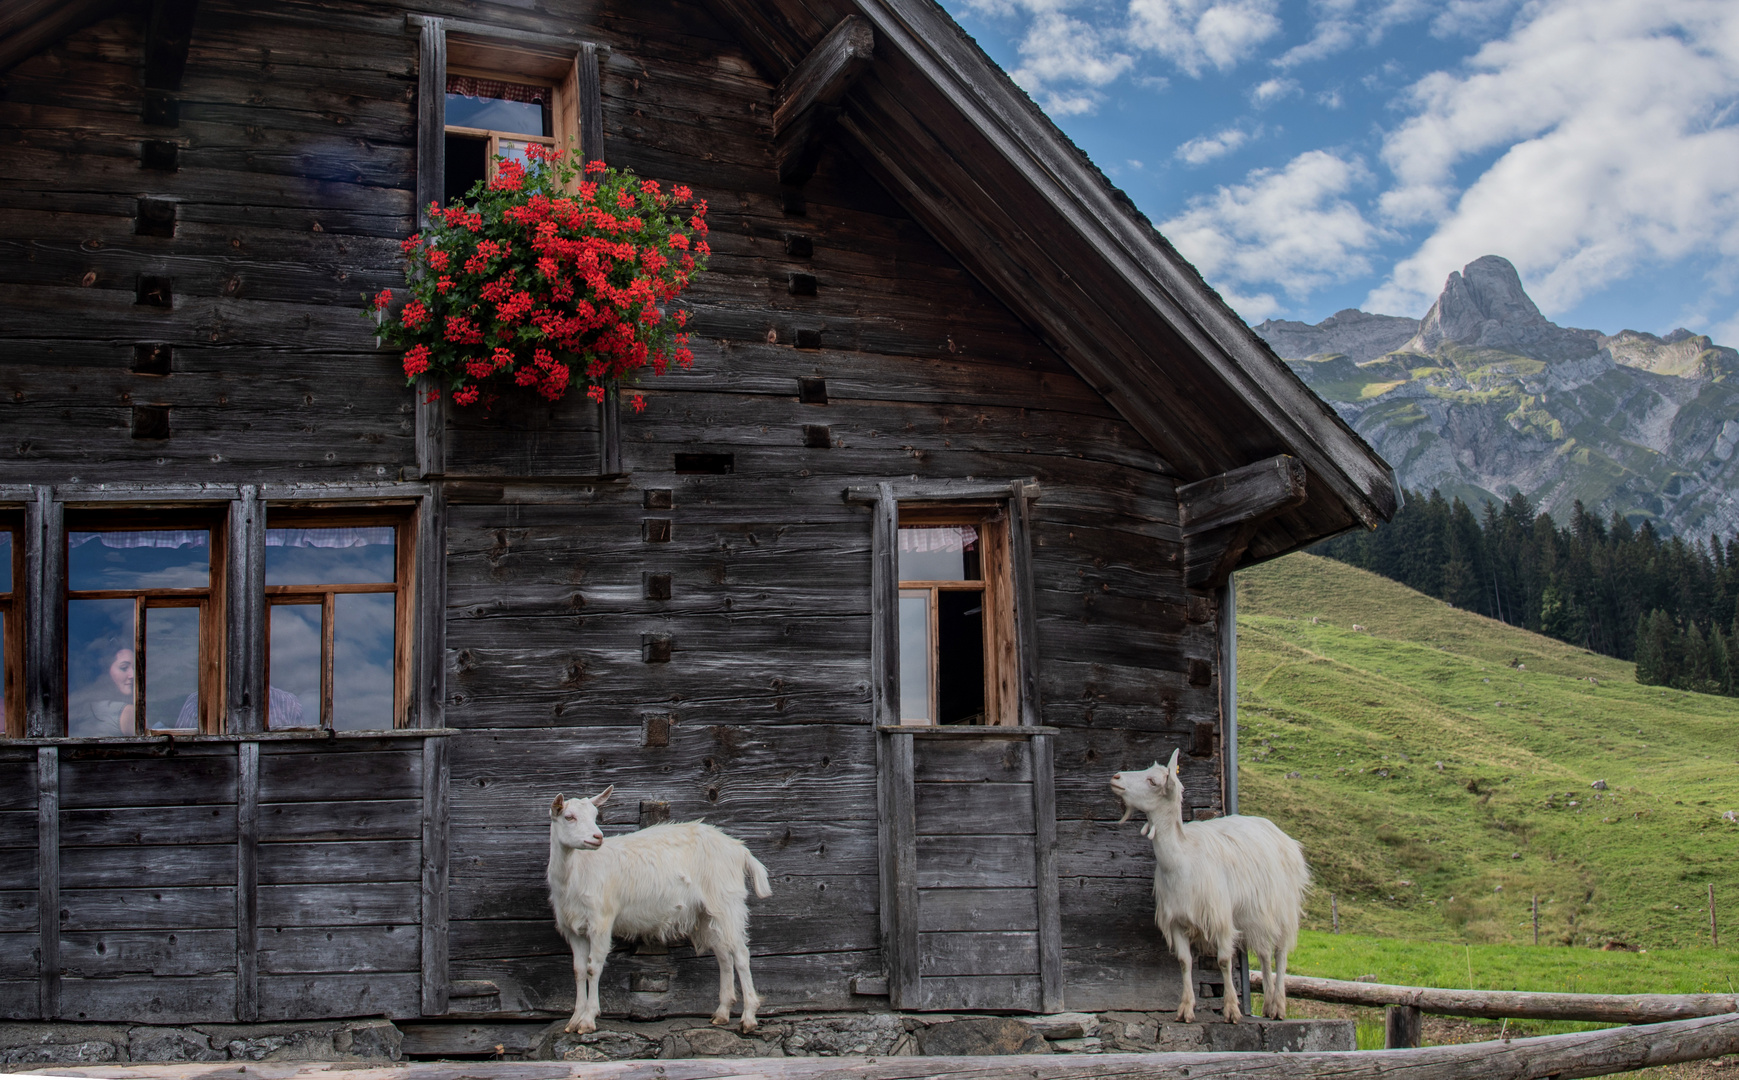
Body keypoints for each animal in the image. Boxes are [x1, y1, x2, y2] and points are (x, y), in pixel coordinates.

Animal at [546, 786, 772, 1029]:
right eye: (569, 817)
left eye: (595, 815)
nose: (598, 837)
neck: (577, 872)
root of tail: (740, 849)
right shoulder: (573, 928)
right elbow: (578, 970)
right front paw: (574, 1020)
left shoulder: (601, 921)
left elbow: (592, 967)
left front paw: (588, 1020)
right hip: (707, 912)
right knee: (724, 954)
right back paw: (722, 1012)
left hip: (728, 901)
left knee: (740, 954)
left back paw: (749, 1017)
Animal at [1112, 751, 1307, 1022]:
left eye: (1152, 781)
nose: (1116, 777)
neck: (1183, 857)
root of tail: (1280, 833)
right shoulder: (1176, 920)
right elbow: (1184, 961)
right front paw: (1185, 1009)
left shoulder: (1221, 918)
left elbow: (1224, 960)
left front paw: (1232, 1010)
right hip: (1254, 914)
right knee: (1265, 953)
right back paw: (1268, 1005)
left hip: (1283, 908)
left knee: (1280, 952)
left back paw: (1278, 1006)